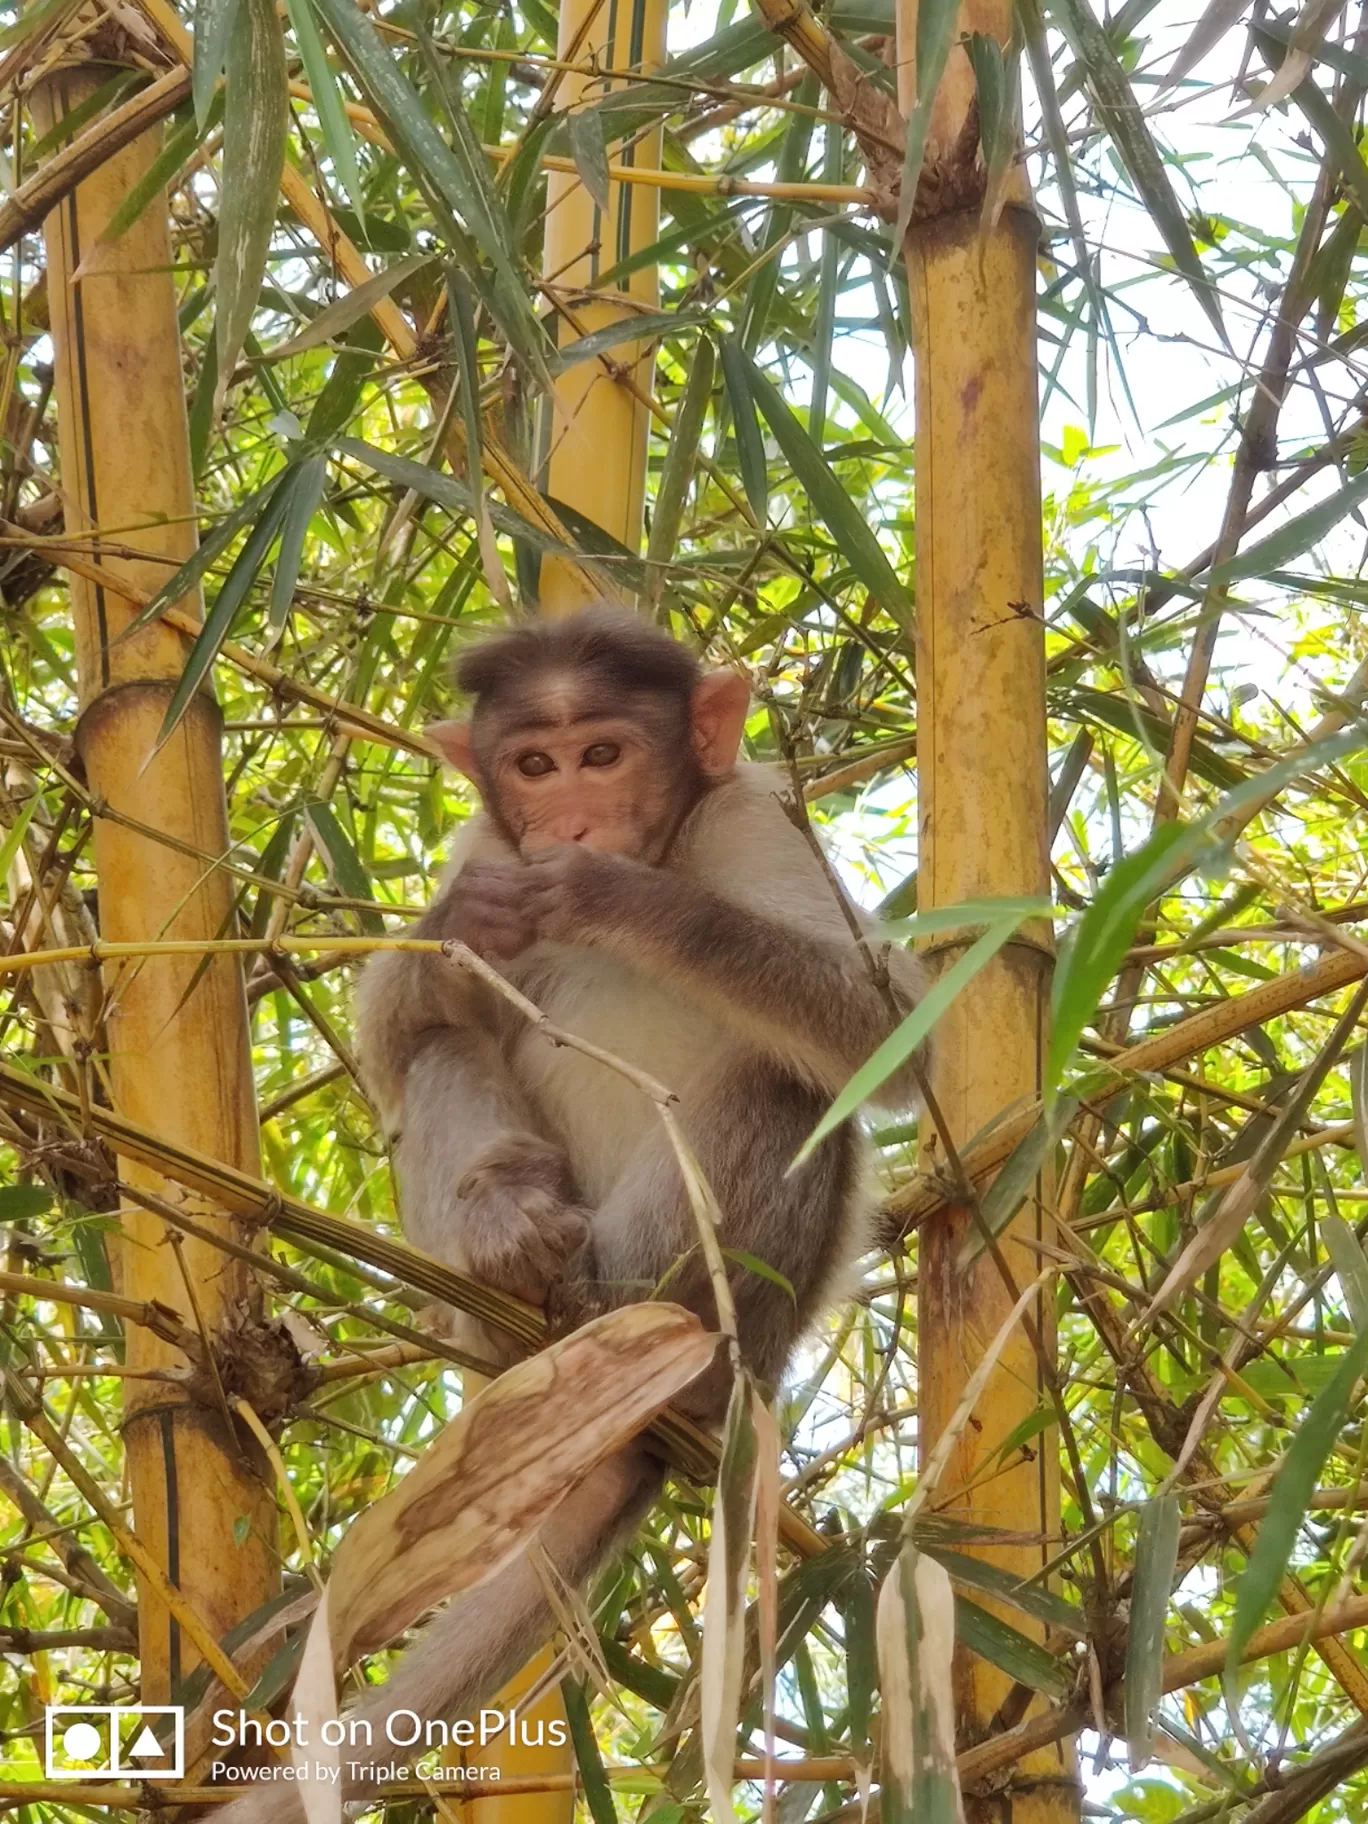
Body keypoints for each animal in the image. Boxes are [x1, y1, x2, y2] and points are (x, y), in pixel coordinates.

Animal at [217, 605, 922, 1816]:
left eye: (603, 754)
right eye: (533, 767)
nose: (573, 819)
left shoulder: (758, 822)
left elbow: (894, 1032)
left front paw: (621, 902)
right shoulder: (488, 847)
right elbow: (401, 1033)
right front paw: (468, 932)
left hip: (744, 1314)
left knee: (786, 1084)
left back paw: (647, 1333)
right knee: (448, 1049)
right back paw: (516, 1248)